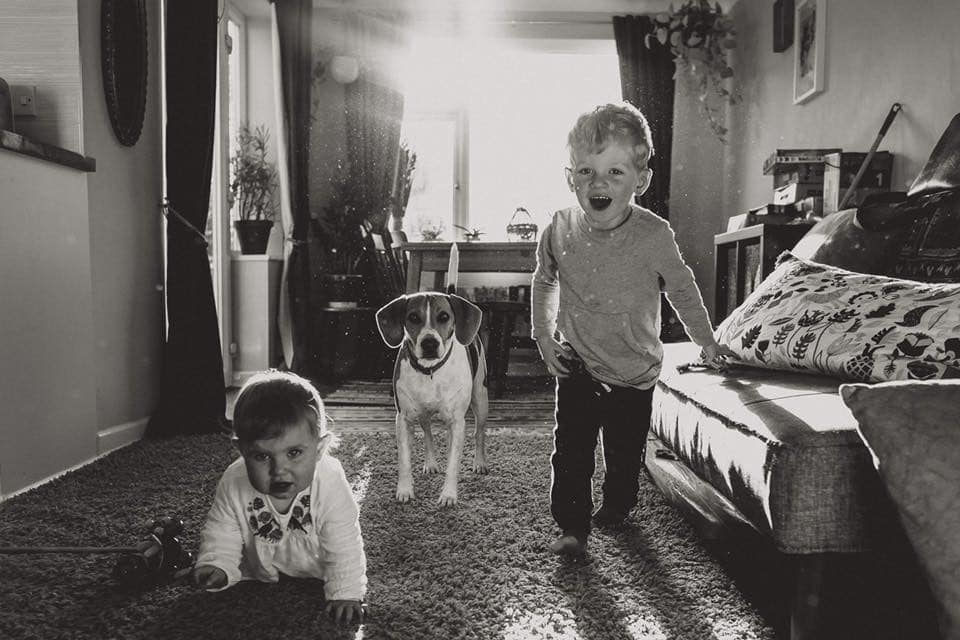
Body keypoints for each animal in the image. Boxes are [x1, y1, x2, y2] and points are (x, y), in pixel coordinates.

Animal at [375, 291, 489, 507]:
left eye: (444, 316)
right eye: (413, 317)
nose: (429, 343)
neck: (430, 371)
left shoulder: (458, 421)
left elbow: (454, 462)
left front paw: (449, 495)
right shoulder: (403, 419)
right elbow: (404, 460)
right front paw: (405, 490)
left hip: (480, 399)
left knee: (479, 433)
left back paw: (479, 463)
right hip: (422, 414)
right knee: (428, 433)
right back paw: (431, 463)